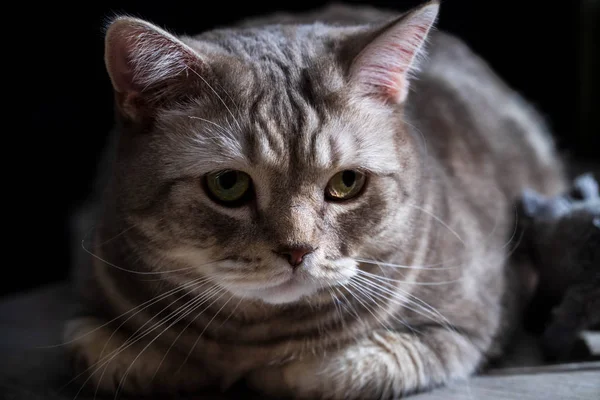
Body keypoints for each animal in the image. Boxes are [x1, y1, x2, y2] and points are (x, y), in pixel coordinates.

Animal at [65, 1, 568, 398]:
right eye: (227, 184)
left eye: (347, 182)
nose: (297, 250)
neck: (256, 335)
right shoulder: (87, 310)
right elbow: (115, 355)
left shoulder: (464, 329)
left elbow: (336, 369)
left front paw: (274, 372)